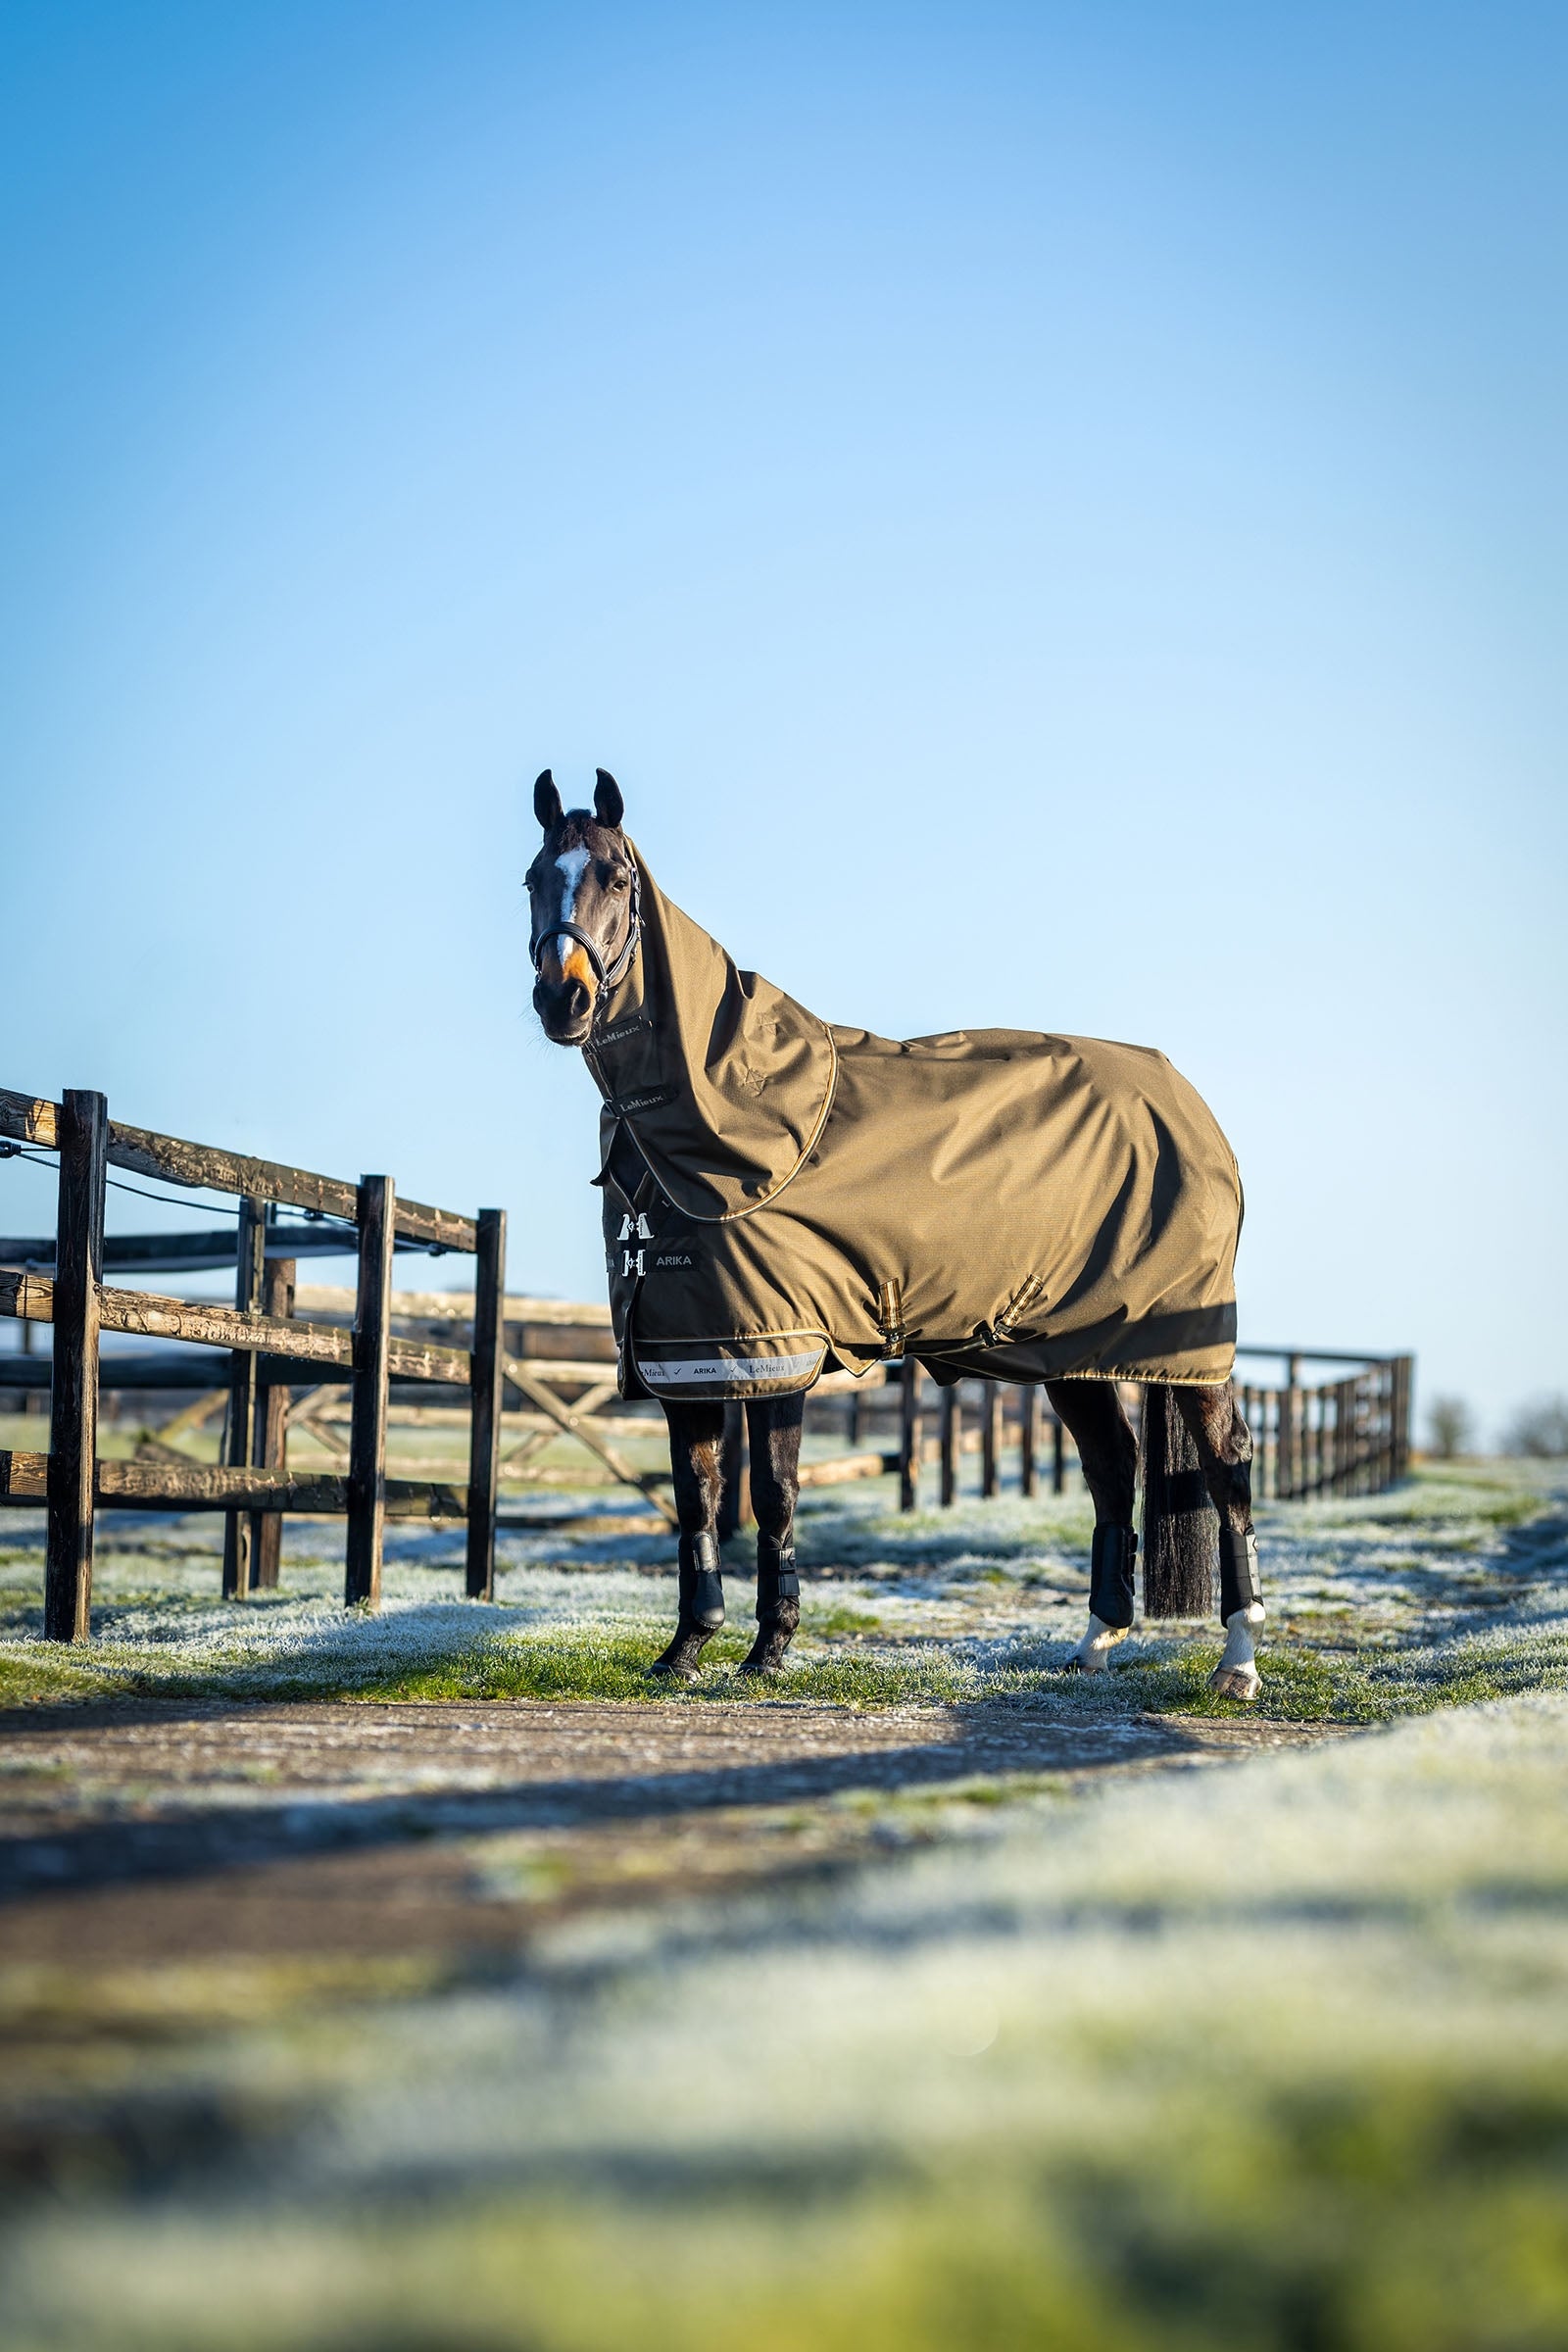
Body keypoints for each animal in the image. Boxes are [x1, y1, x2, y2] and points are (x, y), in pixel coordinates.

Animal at [526, 768, 1265, 1700]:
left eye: (618, 876)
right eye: (532, 878)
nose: (564, 998)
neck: (726, 1118)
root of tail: (1195, 1110)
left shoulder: (781, 1347)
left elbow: (772, 1494)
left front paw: (769, 1650)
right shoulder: (685, 1353)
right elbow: (697, 1498)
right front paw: (685, 1650)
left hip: (1186, 1343)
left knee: (1227, 1464)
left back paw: (1238, 1661)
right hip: (1072, 1349)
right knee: (1112, 1464)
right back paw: (1095, 1642)